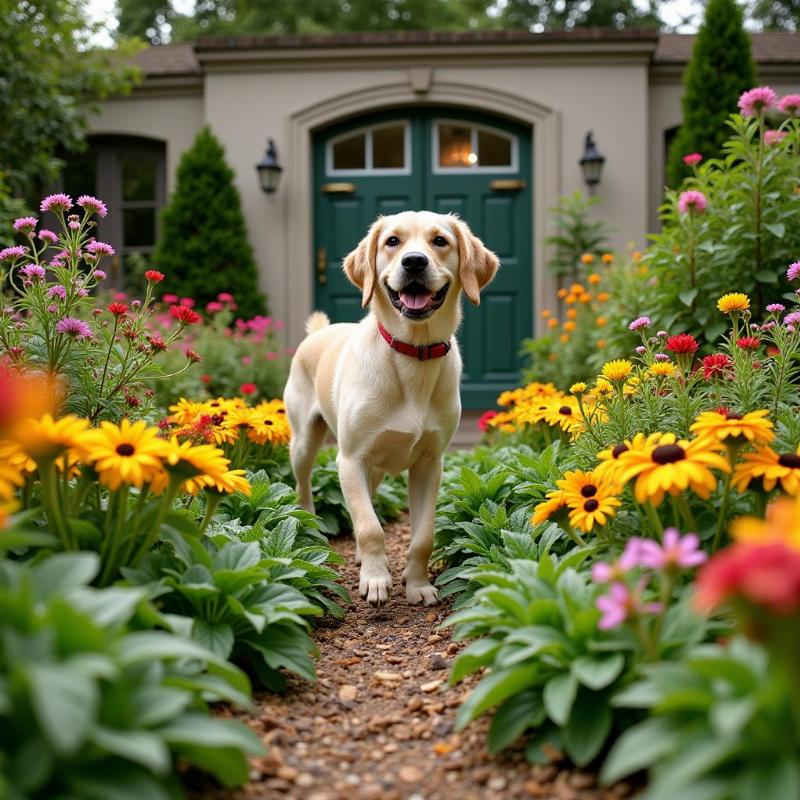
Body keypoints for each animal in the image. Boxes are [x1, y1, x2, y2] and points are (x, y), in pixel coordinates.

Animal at [284, 211, 496, 608]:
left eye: (440, 241)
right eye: (392, 242)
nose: (414, 262)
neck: (413, 354)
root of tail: (318, 332)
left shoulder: (429, 463)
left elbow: (422, 535)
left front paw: (417, 585)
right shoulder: (350, 459)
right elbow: (371, 528)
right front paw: (377, 579)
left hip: (377, 467)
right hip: (304, 443)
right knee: (305, 487)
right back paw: (313, 530)